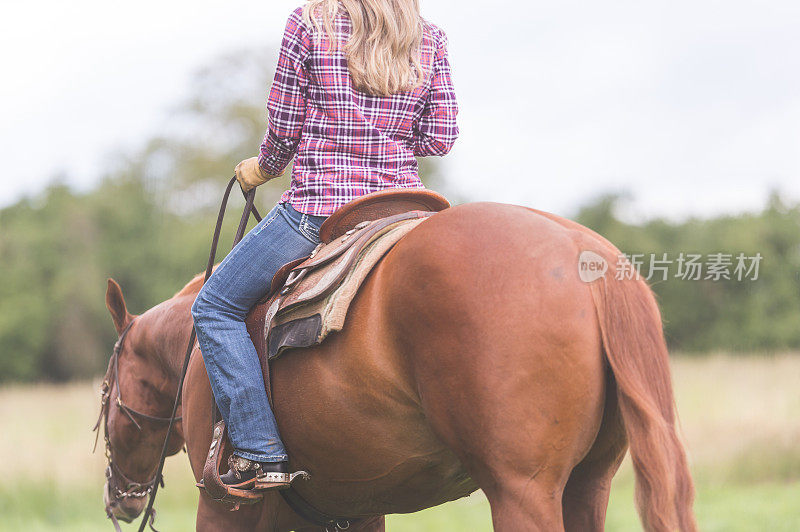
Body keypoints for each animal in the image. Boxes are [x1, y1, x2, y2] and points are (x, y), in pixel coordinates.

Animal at [100, 202, 696, 528]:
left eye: (106, 393)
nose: (119, 500)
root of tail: (584, 252)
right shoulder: (348, 513)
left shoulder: (226, 508)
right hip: (589, 484)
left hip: (523, 490)